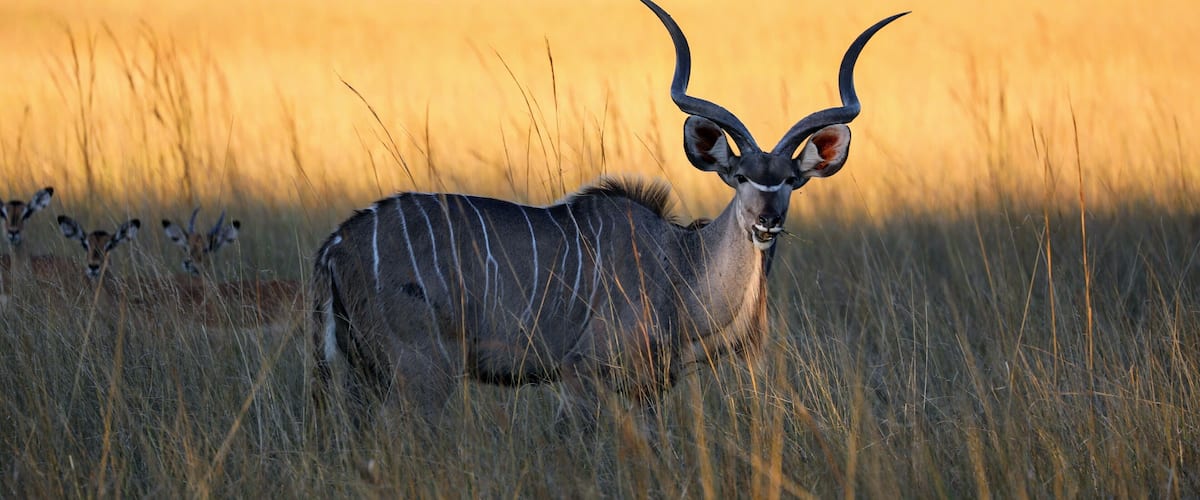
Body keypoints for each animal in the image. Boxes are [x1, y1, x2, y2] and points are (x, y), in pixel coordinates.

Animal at [312, 0, 906, 428]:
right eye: (740, 178)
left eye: (789, 181)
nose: (766, 221)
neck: (679, 269)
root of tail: (336, 244)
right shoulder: (581, 378)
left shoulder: (647, 391)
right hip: (423, 373)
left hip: (367, 376)